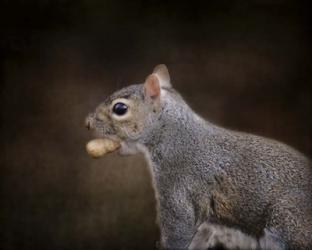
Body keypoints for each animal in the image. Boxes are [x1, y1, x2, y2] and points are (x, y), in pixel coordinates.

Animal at [85, 65, 312, 250]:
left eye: (120, 108)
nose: (88, 123)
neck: (175, 134)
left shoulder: (177, 186)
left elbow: (178, 230)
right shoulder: (207, 224)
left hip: (287, 221)